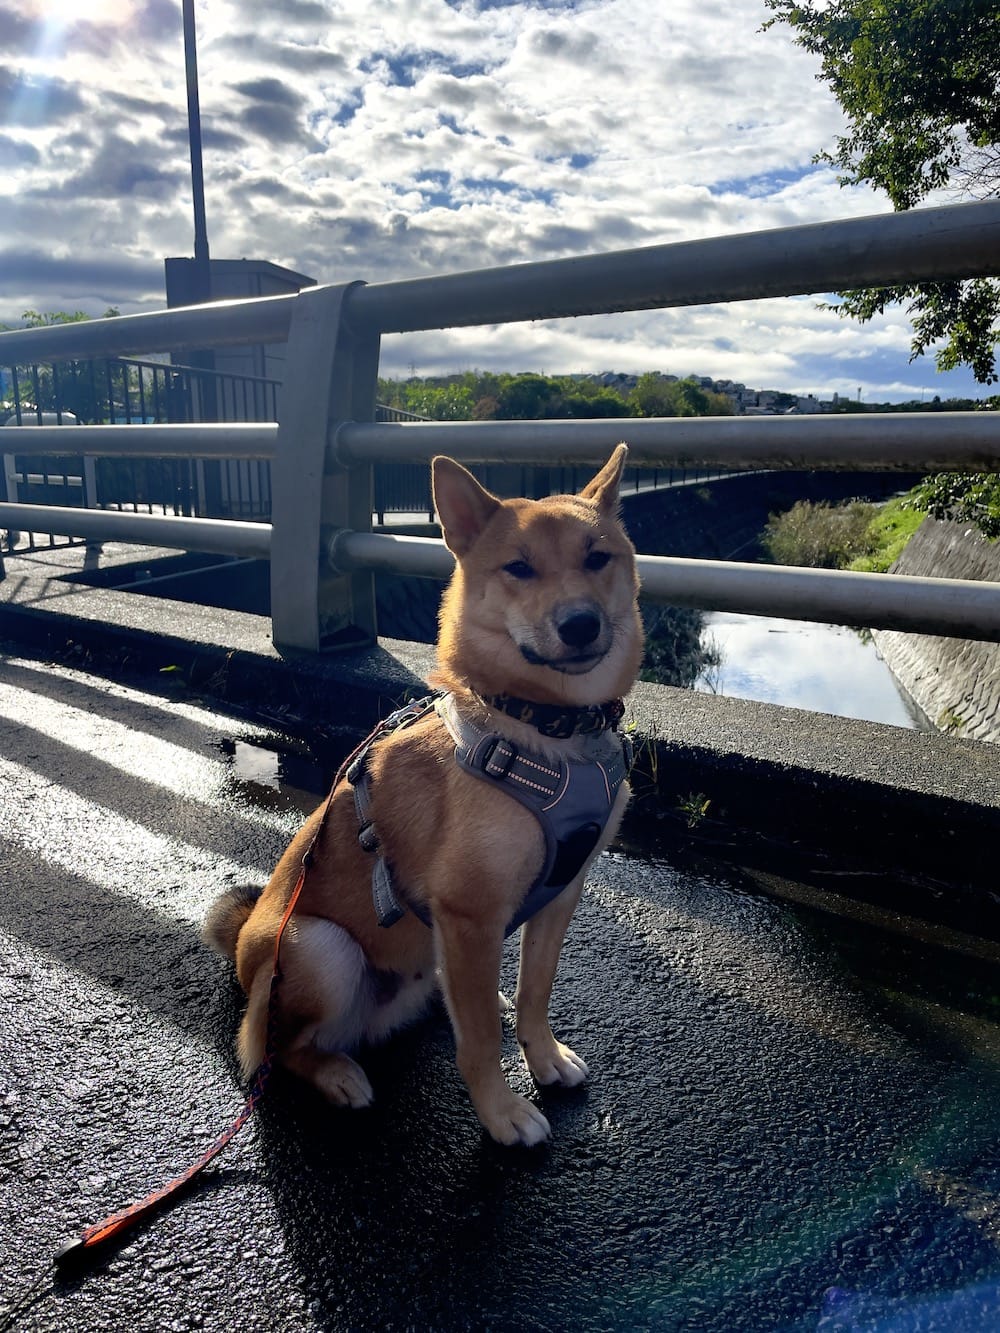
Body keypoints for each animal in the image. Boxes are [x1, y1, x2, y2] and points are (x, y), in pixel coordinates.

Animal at [206, 445, 645, 1146]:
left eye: (597, 557)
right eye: (519, 567)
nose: (580, 624)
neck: (545, 730)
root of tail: (248, 948)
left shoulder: (559, 894)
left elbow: (536, 993)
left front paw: (543, 1057)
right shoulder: (470, 911)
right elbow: (482, 1043)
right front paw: (501, 1112)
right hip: (320, 949)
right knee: (280, 1049)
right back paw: (336, 1073)